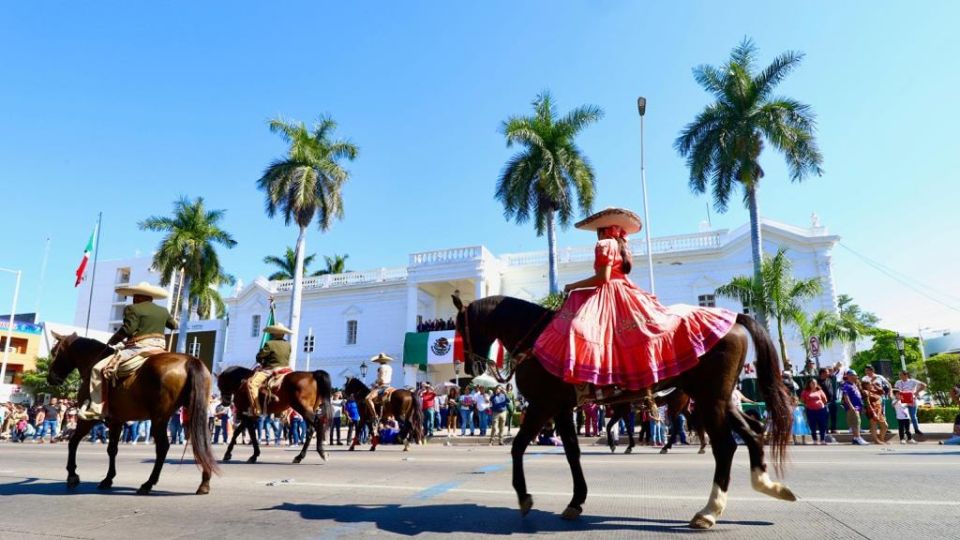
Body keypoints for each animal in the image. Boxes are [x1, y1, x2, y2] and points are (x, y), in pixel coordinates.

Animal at [47, 330, 218, 494]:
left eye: (54, 352)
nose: (50, 379)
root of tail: (190, 360)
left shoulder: (89, 419)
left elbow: (73, 442)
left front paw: (72, 475)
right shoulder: (116, 421)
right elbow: (112, 449)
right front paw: (108, 479)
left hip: (159, 419)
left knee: (163, 447)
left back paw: (148, 484)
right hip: (194, 413)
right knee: (202, 443)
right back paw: (204, 483)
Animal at [454, 294, 800, 528]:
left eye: (458, 326)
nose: (470, 370)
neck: (536, 339)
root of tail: (734, 318)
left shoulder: (543, 405)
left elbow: (517, 446)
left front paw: (524, 497)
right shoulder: (562, 408)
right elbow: (572, 453)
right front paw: (576, 500)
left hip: (708, 398)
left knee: (725, 446)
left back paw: (709, 510)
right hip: (721, 398)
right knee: (754, 431)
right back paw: (768, 485)